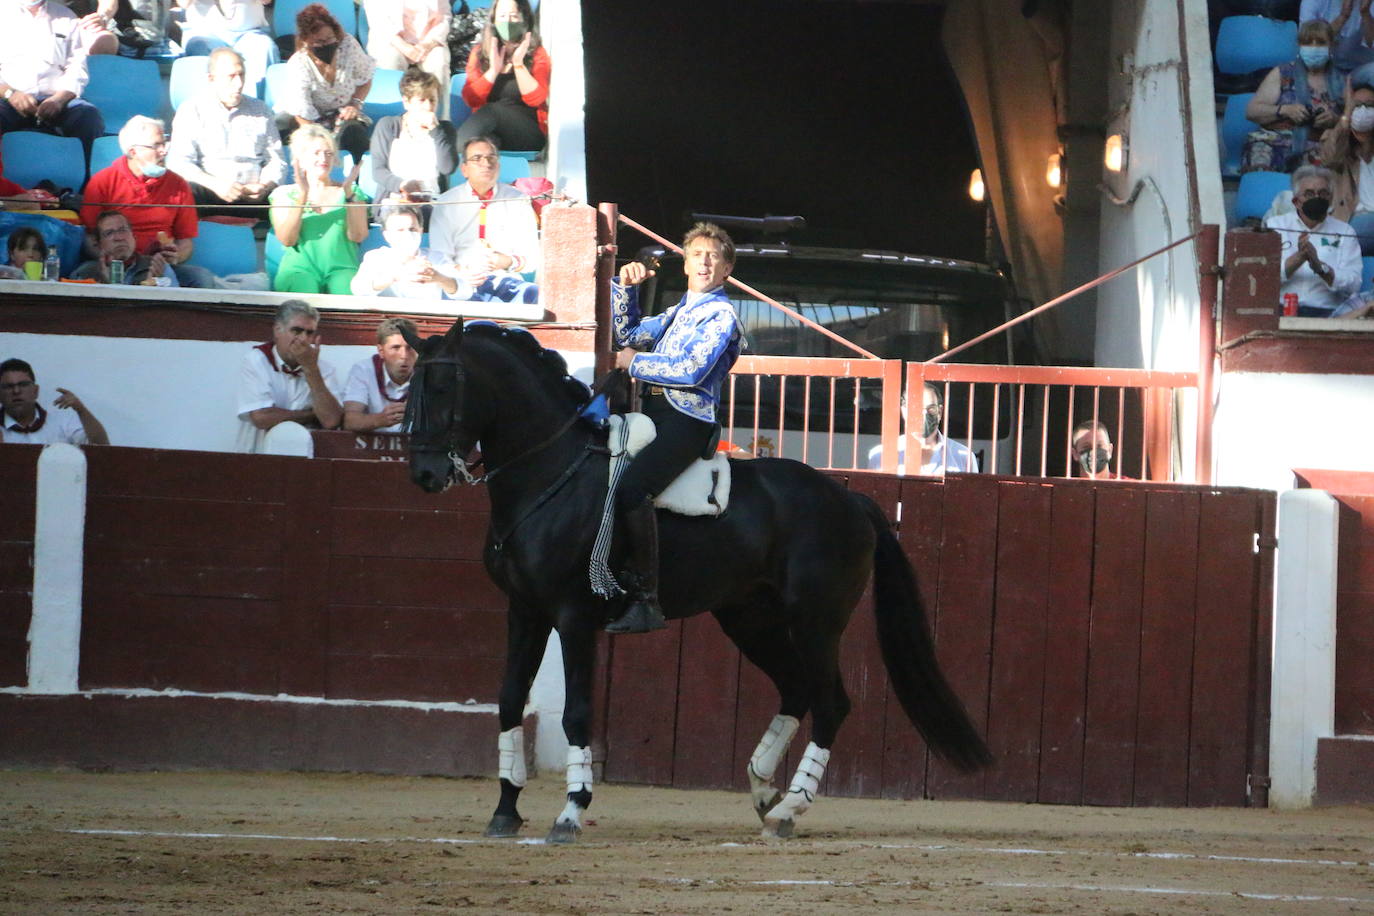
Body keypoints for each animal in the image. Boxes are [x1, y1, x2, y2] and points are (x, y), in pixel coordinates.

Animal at [398, 318, 989, 840]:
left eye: (445, 385)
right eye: (408, 386)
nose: (425, 474)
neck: (553, 473)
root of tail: (850, 498)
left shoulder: (573, 618)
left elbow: (576, 713)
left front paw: (570, 813)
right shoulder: (524, 611)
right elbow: (507, 699)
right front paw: (505, 810)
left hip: (817, 622)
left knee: (831, 702)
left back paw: (788, 808)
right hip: (750, 619)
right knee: (796, 689)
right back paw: (762, 790)